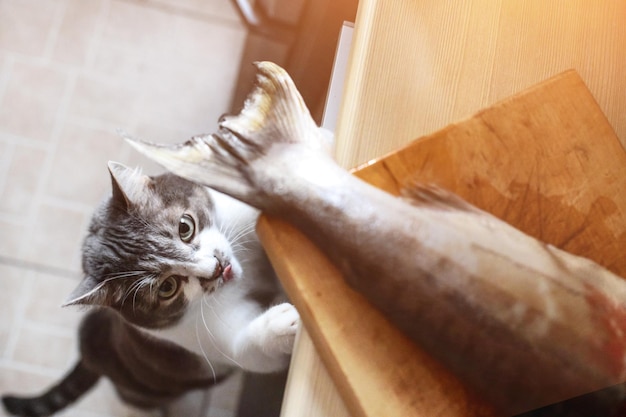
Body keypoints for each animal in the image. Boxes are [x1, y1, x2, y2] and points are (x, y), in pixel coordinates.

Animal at [0, 161, 298, 414]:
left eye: (185, 227)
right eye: (167, 287)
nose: (216, 268)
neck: (246, 276)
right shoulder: (196, 336)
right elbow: (250, 351)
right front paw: (285, 322)